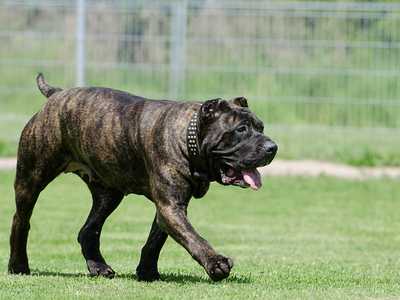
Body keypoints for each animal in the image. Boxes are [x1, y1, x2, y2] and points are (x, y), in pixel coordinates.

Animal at [9, 74, 278, 282]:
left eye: (261, 127)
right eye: (241, 129)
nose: (272, 147)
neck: (187, 139)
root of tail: (56, 94)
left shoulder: (170, 207)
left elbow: (156, 240)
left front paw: (147, 272)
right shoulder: (170, 206)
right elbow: (192, 236)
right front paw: (215, 263)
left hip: (108, 194)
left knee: (88, 230)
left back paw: (99, 267)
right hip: (31, 178)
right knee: (21, 220)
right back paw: (18, 266)